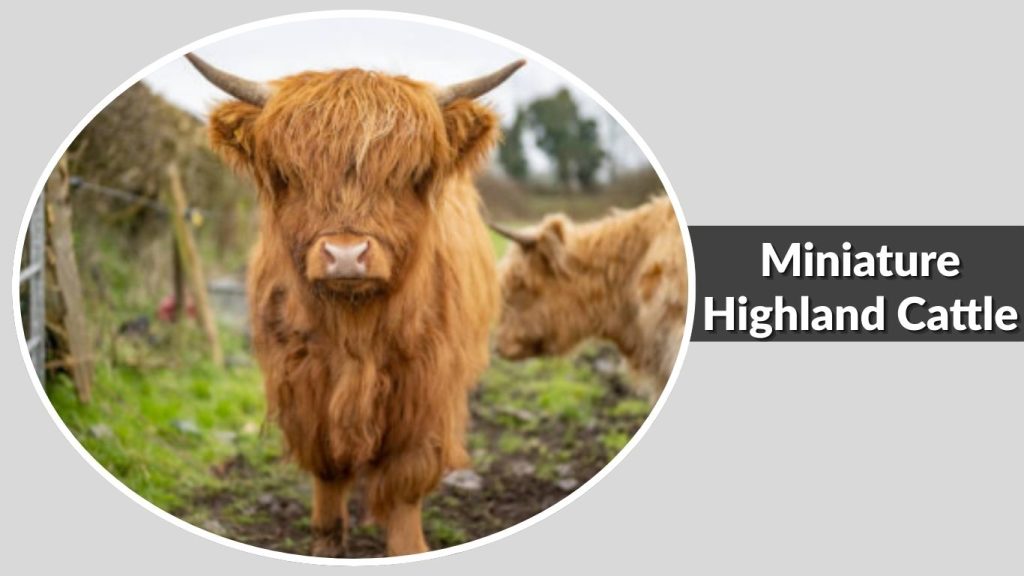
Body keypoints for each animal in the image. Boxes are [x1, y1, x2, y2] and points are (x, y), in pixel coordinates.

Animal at [185, 53, 523, 557]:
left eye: (412, 174)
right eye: (288, 175)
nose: (345, 255)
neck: (354, 330)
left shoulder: (424, 392)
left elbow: (404, 484)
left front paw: (408, 548)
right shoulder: (304, 386)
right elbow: (328, 471)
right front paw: (326, 544)